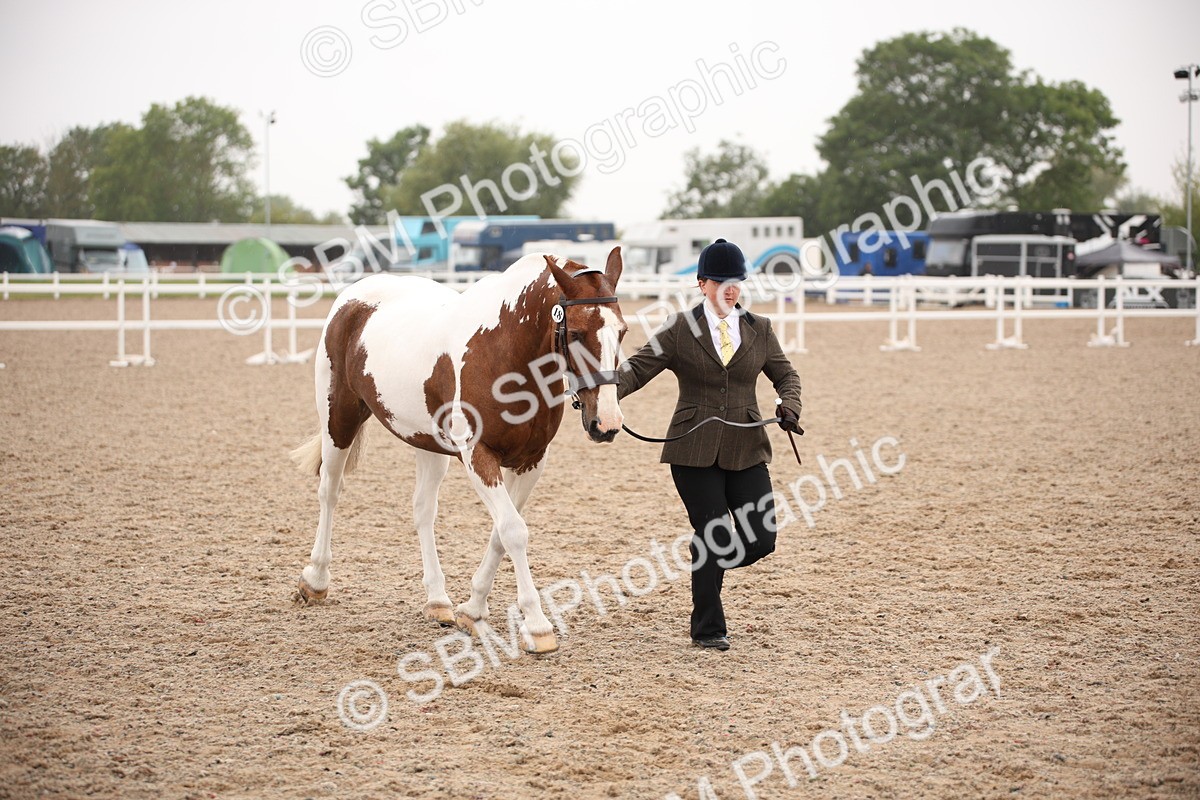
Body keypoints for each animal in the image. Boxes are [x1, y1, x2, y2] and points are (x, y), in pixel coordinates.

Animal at [291, 248, 628, 654]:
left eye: (622, 331)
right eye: (575, 333)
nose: (606, 423)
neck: (504, 351)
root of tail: (353, 297)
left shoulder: (531, 461)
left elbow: (500, 533)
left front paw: (473, 609)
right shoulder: (477, 455)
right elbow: (513, 530)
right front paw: (536, 625)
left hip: (428, 444)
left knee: (422, 510)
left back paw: (438, 601)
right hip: (338, 418)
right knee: (330, 490)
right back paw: (315, 580)